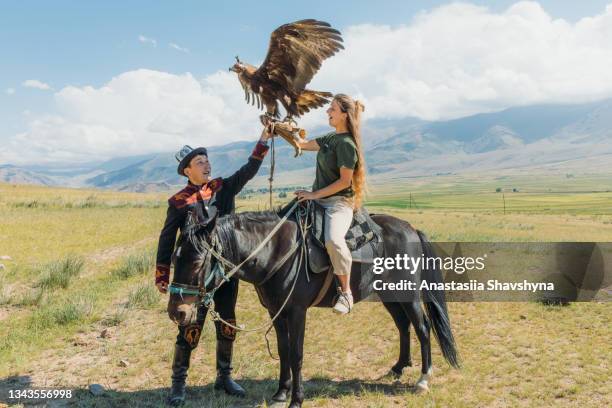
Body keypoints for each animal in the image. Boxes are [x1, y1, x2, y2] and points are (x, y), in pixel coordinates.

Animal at [167, 209, 460, 406]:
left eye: (197, 262)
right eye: (173, 258)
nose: (176, 312)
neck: (276, 251)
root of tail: (411, 228)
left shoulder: (297, 311)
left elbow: (296, 354)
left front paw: (296, 399)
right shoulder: (276, 312)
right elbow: (283, 351)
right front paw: (280, 393)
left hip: (408, 293)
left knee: (422, 328)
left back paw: (423, 379)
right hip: (390, 294)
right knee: (403, 325)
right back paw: (398, 367)